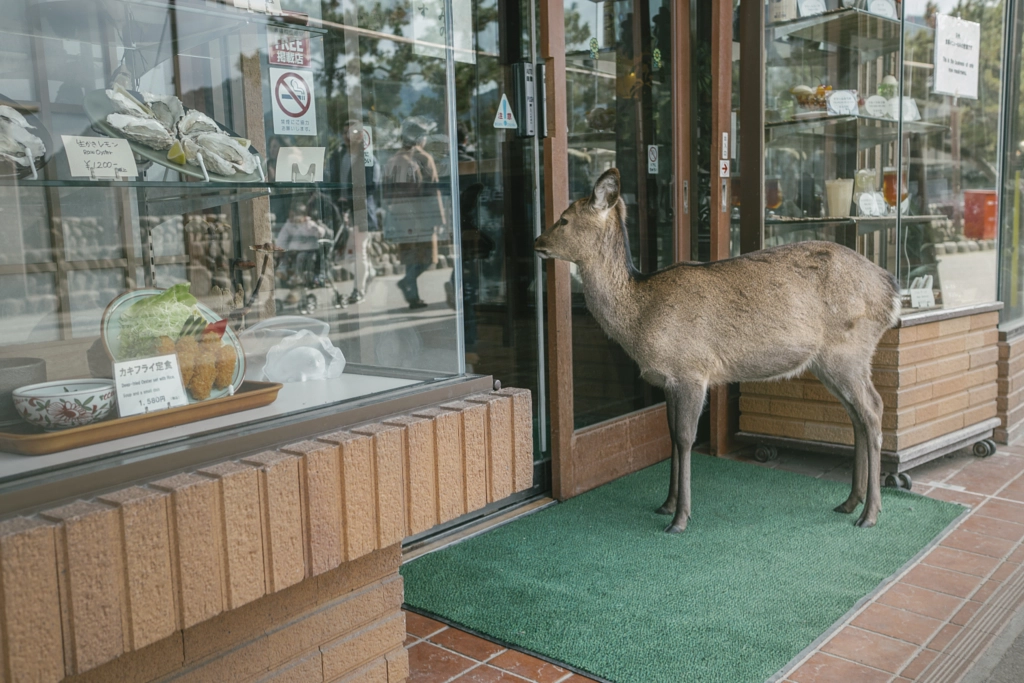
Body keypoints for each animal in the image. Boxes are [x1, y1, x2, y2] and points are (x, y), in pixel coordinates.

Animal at [532, 169, 901, 532]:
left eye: (563, 219)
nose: (536, 241)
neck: (640, 317)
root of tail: (892, 290)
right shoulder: (668, 381)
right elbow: (670, 436)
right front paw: (666, 504)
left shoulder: (692, 370)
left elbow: (684, 438)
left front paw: (680, 518)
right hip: (830, 362)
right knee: (855, 415)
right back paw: (849, 502)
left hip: (848, 351)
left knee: (873, 408)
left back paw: (869, 513)